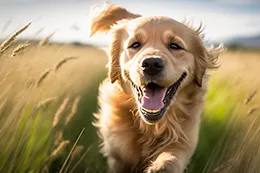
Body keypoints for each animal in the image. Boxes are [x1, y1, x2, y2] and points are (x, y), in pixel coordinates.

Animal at [90, 3, 223, 172]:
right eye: (135, 44)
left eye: (175, 46)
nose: (151, 64)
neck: (150, 126)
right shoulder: (117, 154)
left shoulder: (184, 140)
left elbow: (171, 157)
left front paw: (160, 166)